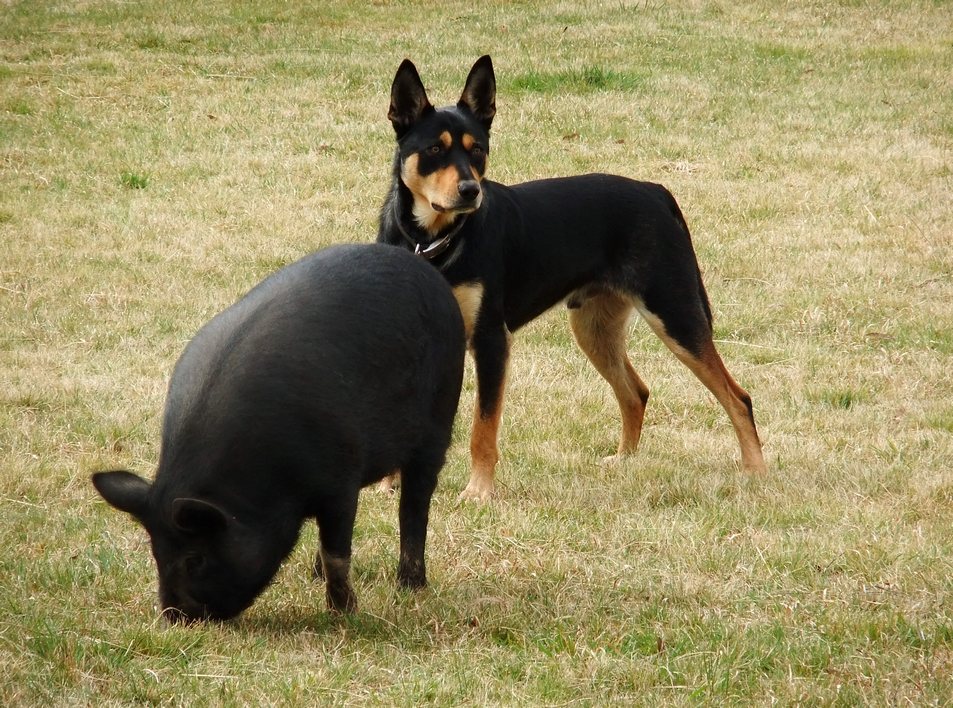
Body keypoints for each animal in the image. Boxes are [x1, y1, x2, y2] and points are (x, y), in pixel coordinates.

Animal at [91, 246, 462, 624]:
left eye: (195, 558)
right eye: (155, 552)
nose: (173, 616)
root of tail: (418, 265)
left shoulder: (340, 480)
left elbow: (337, 551)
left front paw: (344, 614)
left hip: (440, 417)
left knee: (415, 506)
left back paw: (411, 585)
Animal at [376, 55, 764, 500]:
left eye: (478, 151)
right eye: (435, 149)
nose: (471, 190)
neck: (434, 243)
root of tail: (655, 191)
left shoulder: (491, 341)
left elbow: (483, 428)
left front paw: (479, 492)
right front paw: (390, 483)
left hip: (675, 316)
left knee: (738, 398)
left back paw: (755, 470)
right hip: (595, 327)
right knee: (636, 393)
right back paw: (624, 460)